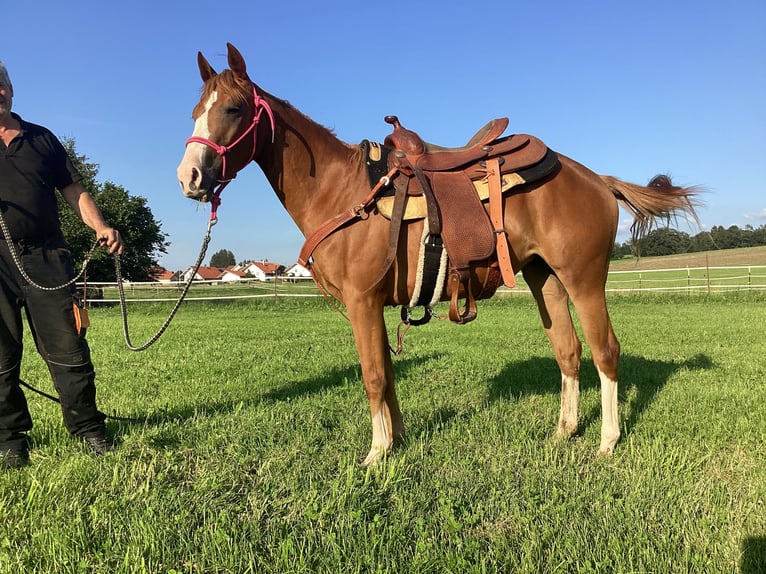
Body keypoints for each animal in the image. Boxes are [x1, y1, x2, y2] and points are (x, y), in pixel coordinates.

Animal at [178, 45, 704, 468]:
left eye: (233, 107)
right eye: (194, 112)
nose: (189, 178)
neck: (340, 191)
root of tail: (598, 179)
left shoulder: (362, 302)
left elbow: (373, 376)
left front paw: (375, 455)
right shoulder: (374, 307)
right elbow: (388, 375)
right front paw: (395, 441)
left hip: (584, 279)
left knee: (605, 351)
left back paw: (607, 442)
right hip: (546, 278)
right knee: (568, 351)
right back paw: (563, 433)